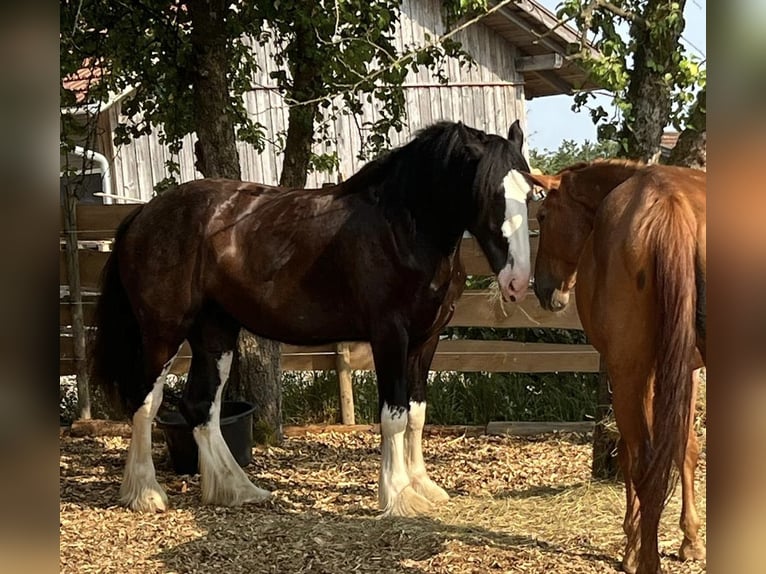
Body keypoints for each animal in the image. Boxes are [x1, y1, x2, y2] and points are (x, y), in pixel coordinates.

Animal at [91, 122, 536, 520]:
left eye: (530, 194)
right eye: (490, 195)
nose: (517, 282)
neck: (403, 228)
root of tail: (143, 214)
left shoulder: (426, 341)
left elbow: (416, 414)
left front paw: (422, 487)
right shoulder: (390, 336)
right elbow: (393, 416)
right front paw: (397, 496)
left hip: (216, 332)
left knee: (202, 406)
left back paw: (237, 490)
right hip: (163, 332)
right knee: (146, 402)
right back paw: (146, 493)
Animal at [520, 162, 708, 574]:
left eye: (542, 216)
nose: (543, 290)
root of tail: (668, 205)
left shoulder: (630, 372)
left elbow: (631, 454)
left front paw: (631, 545)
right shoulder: (687, 369)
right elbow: (686, 447)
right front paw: (690, 540)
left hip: (628, 375)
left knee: (641, 460)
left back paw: (644, 558)